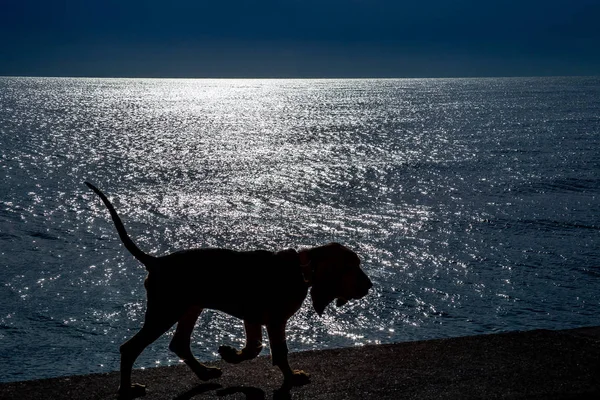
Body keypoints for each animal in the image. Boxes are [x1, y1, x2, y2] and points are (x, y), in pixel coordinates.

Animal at [85, 183, 370, 398]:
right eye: (353, 267)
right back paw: (126, 389)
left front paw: (232, 355)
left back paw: (204, 372)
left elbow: (254, 347)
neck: (300, 270)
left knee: (179, 343)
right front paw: (291, 376)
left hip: (191, 306)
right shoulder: (275, 321)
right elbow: (279, 352)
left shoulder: (252, 316)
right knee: (130, 348)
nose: (369, 287)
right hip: (165, 311)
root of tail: (156, 262)